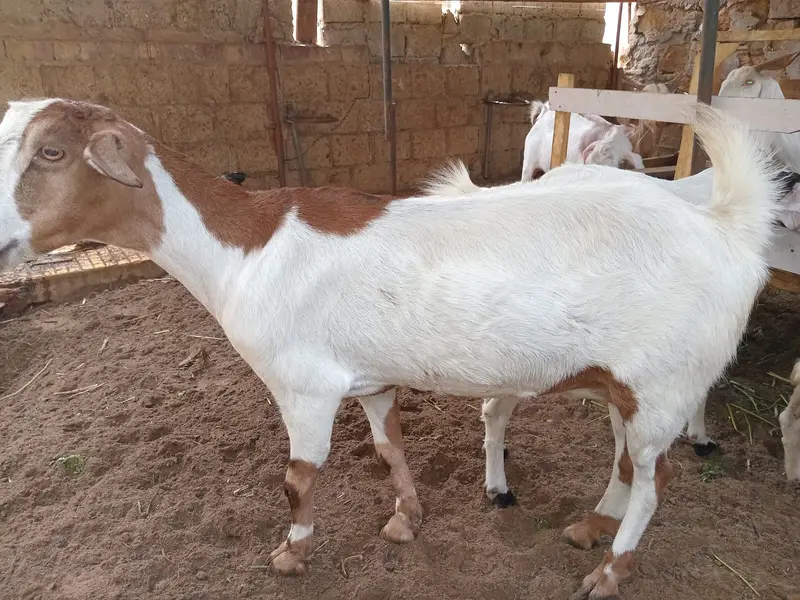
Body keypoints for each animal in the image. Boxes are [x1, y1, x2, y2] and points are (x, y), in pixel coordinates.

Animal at [0, 98, 783, 598]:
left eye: (52, 152)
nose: (4, 238)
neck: (245, 248)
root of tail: (726, 227)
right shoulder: (368, 379)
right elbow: (388, 448)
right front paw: (405, 519)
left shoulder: (303, 385)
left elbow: (299, 477)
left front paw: (292, 553)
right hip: (629, 382)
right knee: (626, 461)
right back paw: (590, 528)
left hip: (665, 383)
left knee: (656, 480)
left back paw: (610, 572)